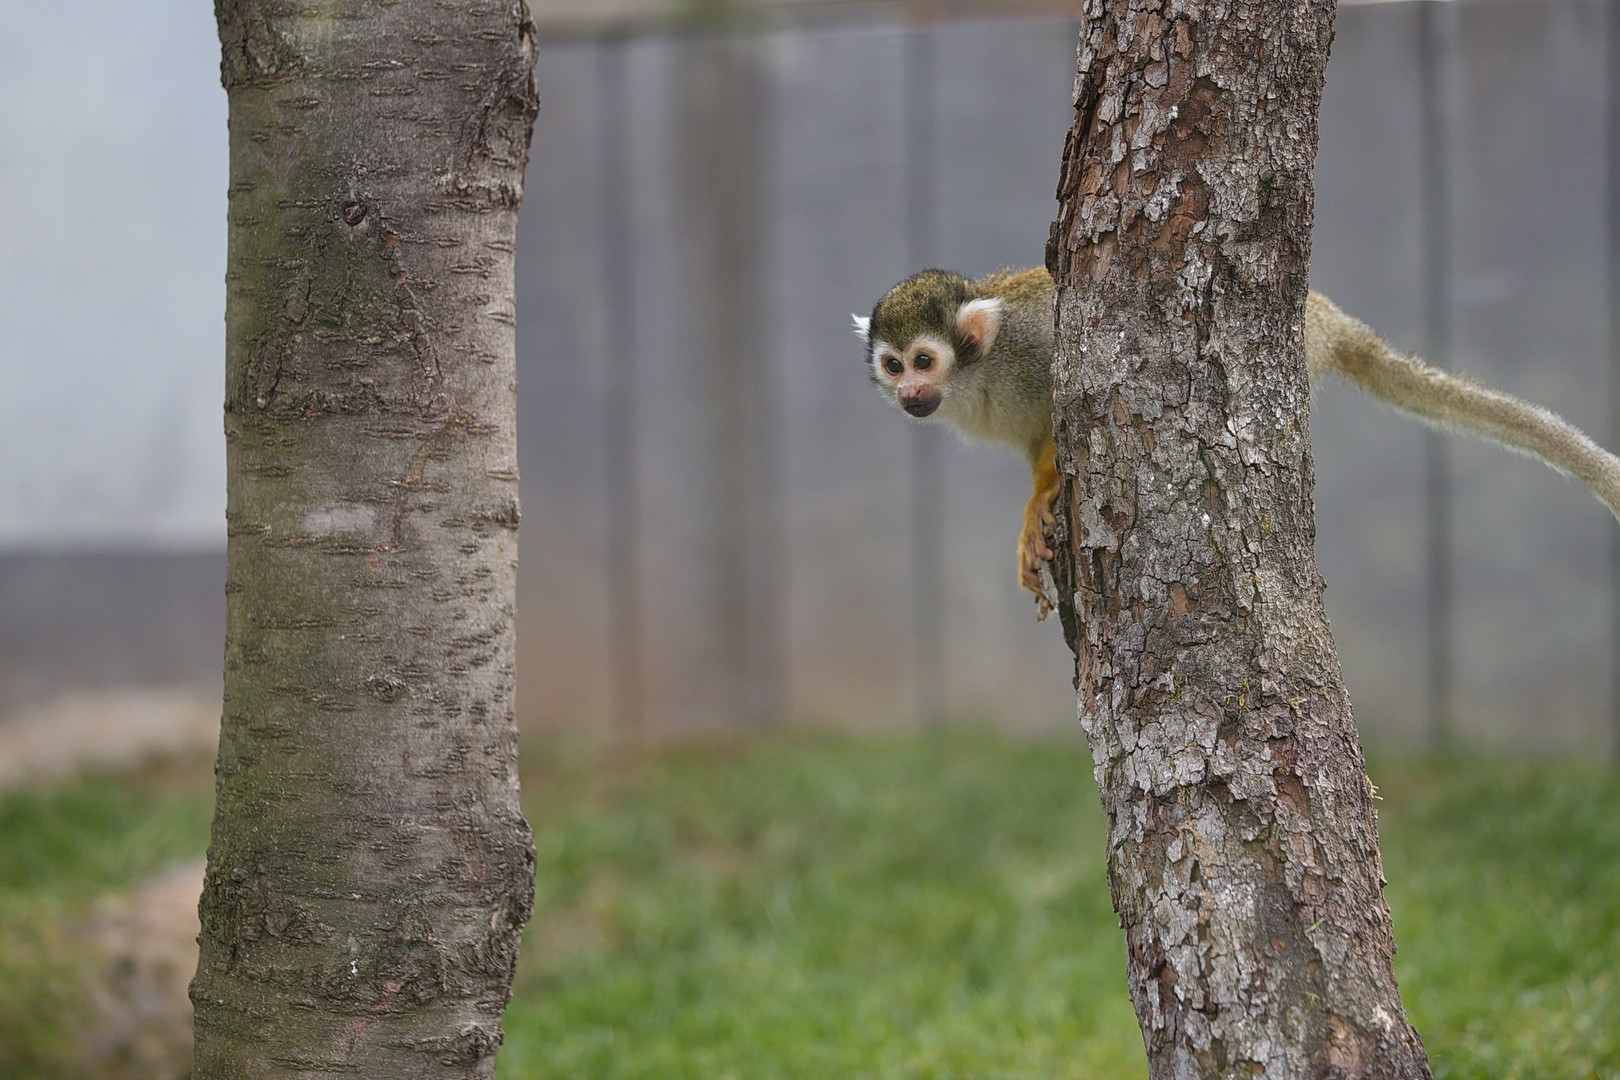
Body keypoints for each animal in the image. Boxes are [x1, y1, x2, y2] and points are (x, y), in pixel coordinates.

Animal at [855, 267, 1620, 621]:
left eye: (923, 360)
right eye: (893, 366)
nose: (908, 392)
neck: (977, 377)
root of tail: (1324, 316)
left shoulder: (1031, 352)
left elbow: (1060, 421)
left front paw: (1042, 500)